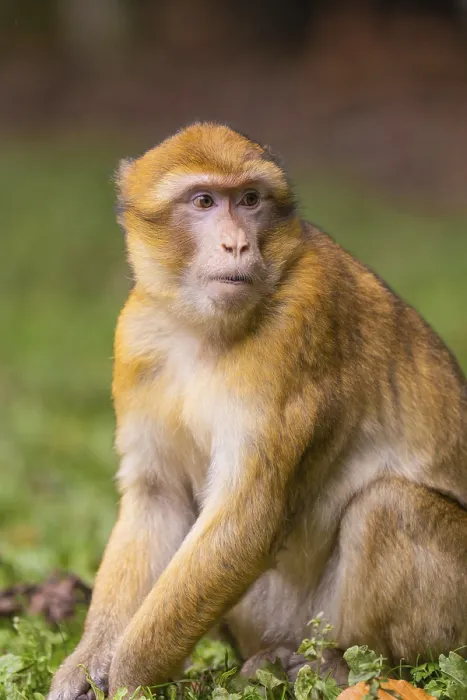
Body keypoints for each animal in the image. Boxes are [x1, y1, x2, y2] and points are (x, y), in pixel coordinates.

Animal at [48, 122, 467, 700]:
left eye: (249, 200)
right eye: (204, 201)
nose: (237, 243)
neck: (203, 328)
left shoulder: (300, 325)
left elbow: (249, 516)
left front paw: (131, 678)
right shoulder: (136, 334)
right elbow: (157, 495)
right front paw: (87, 666)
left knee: (389, 506)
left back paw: (346, 667)